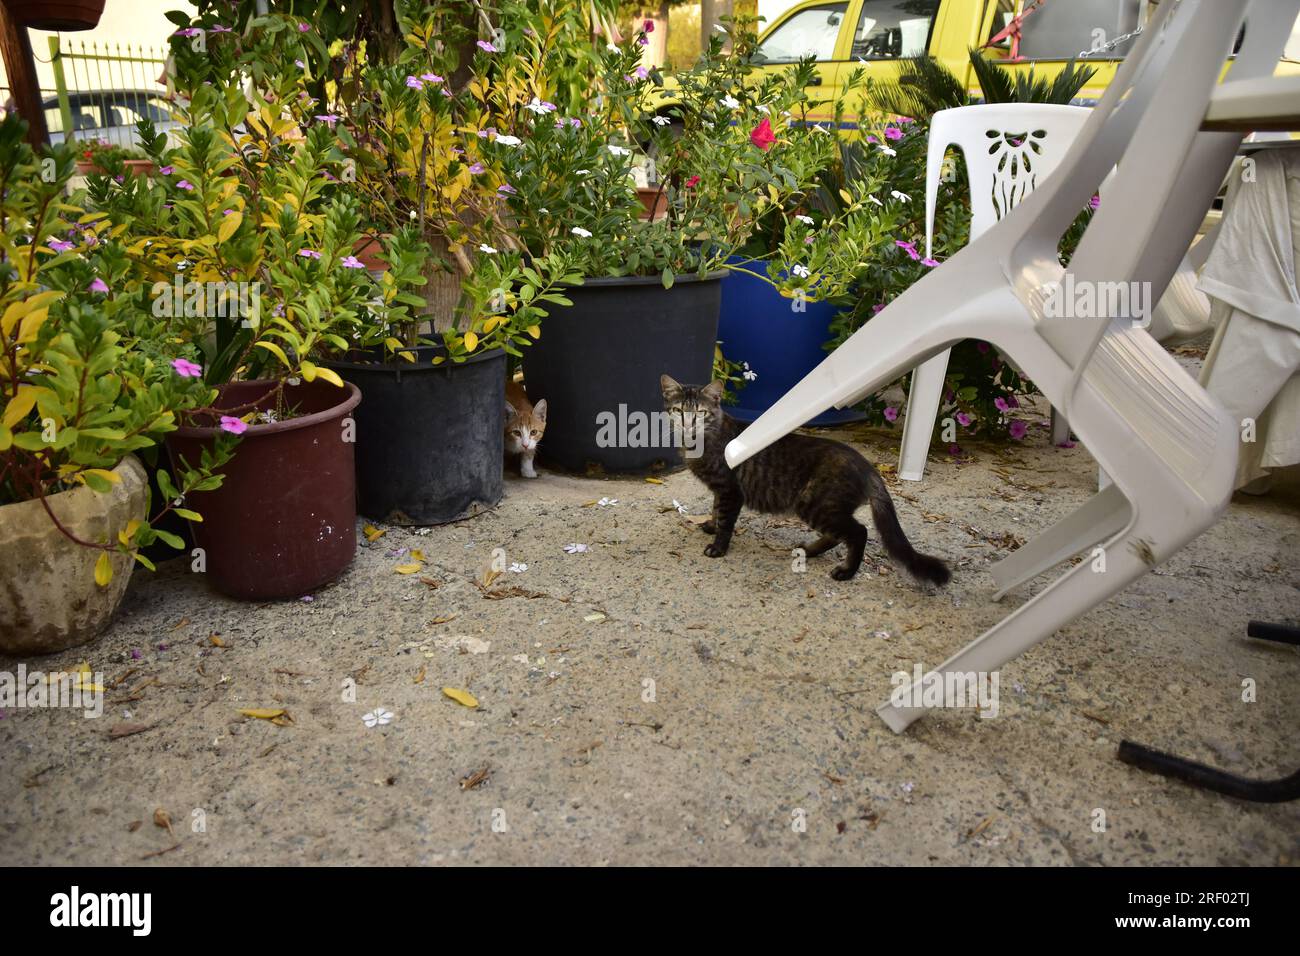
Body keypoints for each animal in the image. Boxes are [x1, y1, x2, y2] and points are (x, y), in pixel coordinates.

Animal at [665, 374, 951, 582]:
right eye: (679, 410)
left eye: (700, 413)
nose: (688, 425)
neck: (698, 443)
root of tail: (868, 467)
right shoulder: (720, 491)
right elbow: (715, 510)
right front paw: (710, 525)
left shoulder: (730, 490)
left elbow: (725, 521)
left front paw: (718, 547)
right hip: (822, 508)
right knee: (838, 535)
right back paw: (810, 550)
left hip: (815, 504)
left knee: (859, 532)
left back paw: (846, 571)